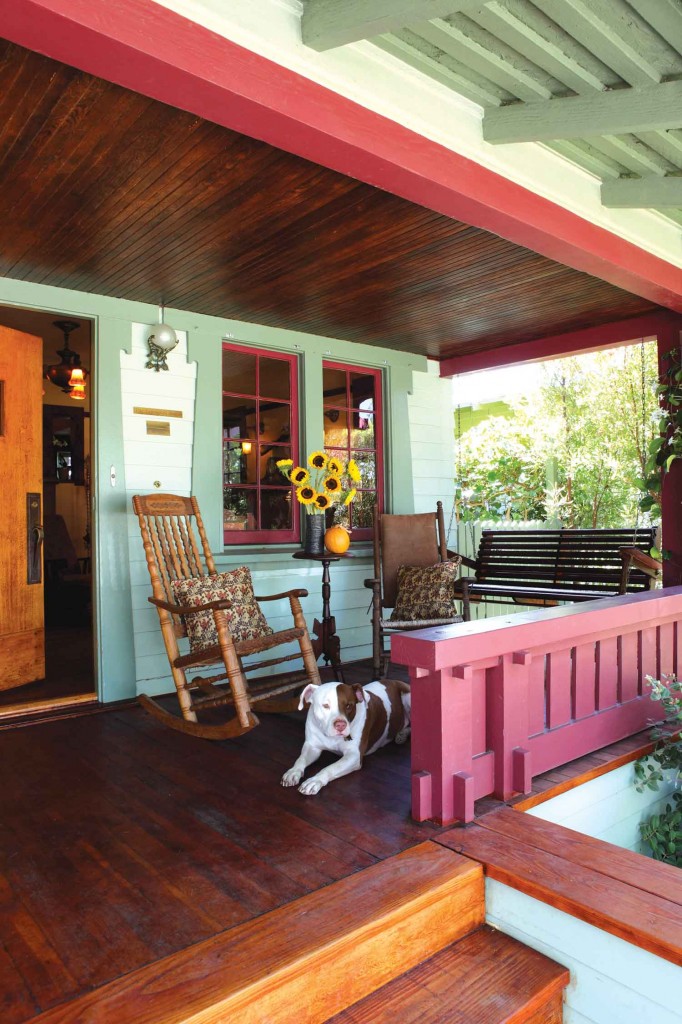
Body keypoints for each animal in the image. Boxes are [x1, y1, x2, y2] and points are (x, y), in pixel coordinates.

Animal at [280, 679, 409, 798]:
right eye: (325, 705)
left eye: (348, 705)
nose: (341, 725)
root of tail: (396, 681)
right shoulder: (312, 746)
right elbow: (301, 759)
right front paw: (293, 771)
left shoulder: (354, 756)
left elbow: (330, 767)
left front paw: (315, 780)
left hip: (407, 696)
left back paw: (402, 735)